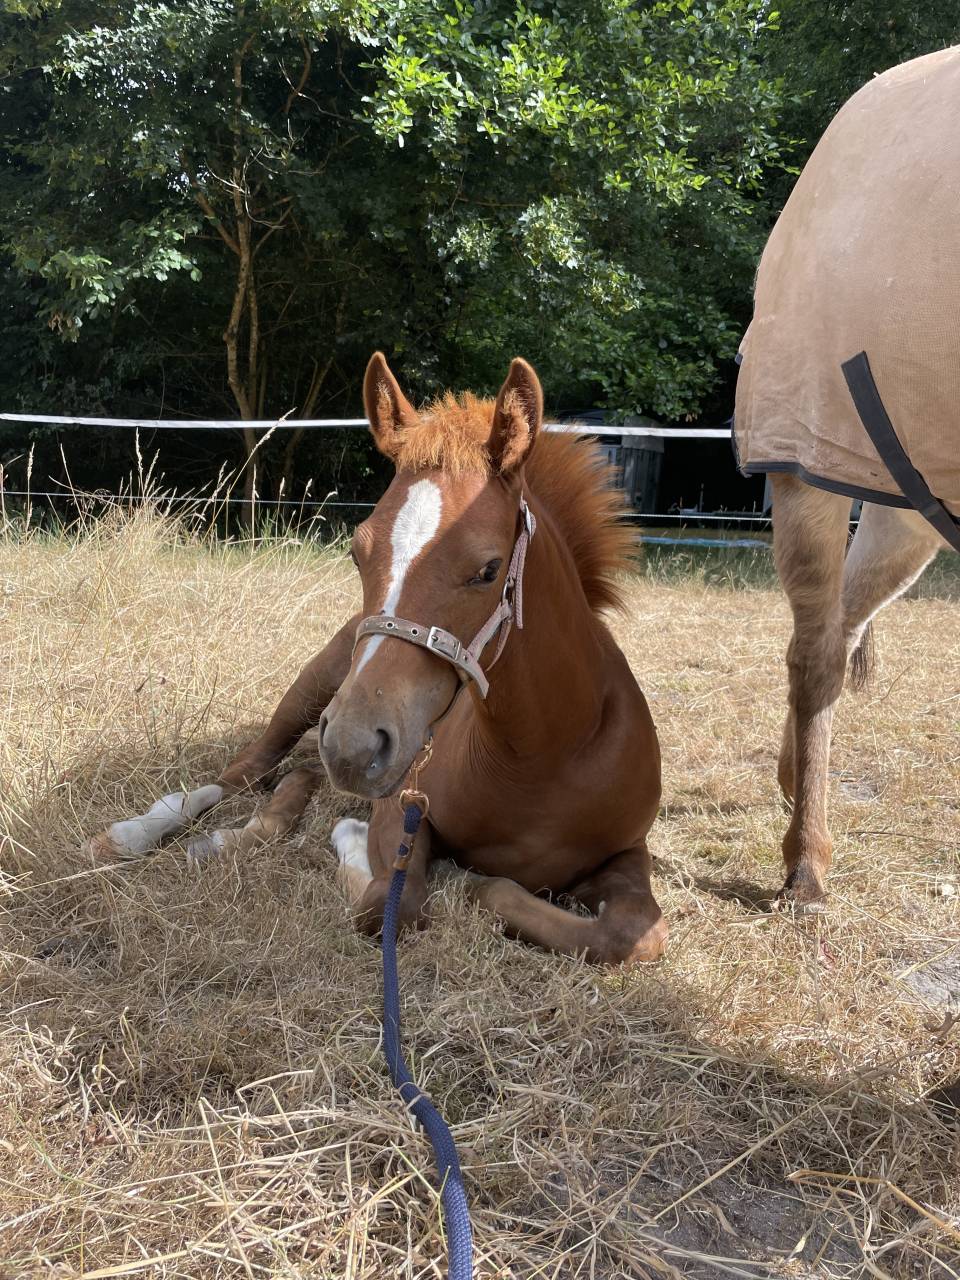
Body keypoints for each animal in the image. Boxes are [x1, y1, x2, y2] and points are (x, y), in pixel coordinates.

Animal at [86, 354, 667, 965]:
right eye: (356, 552)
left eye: (488, 569)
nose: (354, 745)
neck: (542, 758)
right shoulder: (403, 806)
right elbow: (390, 904)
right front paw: (358, 841)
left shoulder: (628, 853)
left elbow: (627, 934)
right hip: (311, 693)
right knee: (239, 776)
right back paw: (134, 834)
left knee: (298, 777)